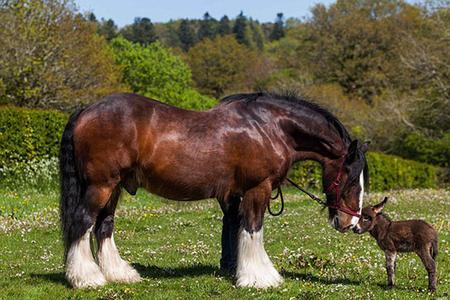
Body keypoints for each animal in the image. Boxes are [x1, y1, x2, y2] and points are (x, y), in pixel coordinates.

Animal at [59, 91, 370, 288]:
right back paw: (86, 278)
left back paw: (118, 274)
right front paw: (259, 278)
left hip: (114, 188)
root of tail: (86, 110)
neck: (270, 127)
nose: (350, 222)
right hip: (101, 186)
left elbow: (239, 229)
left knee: (104, 225)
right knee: (83, 222)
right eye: (351, 179)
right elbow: (252, 229)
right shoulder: (257, 189)